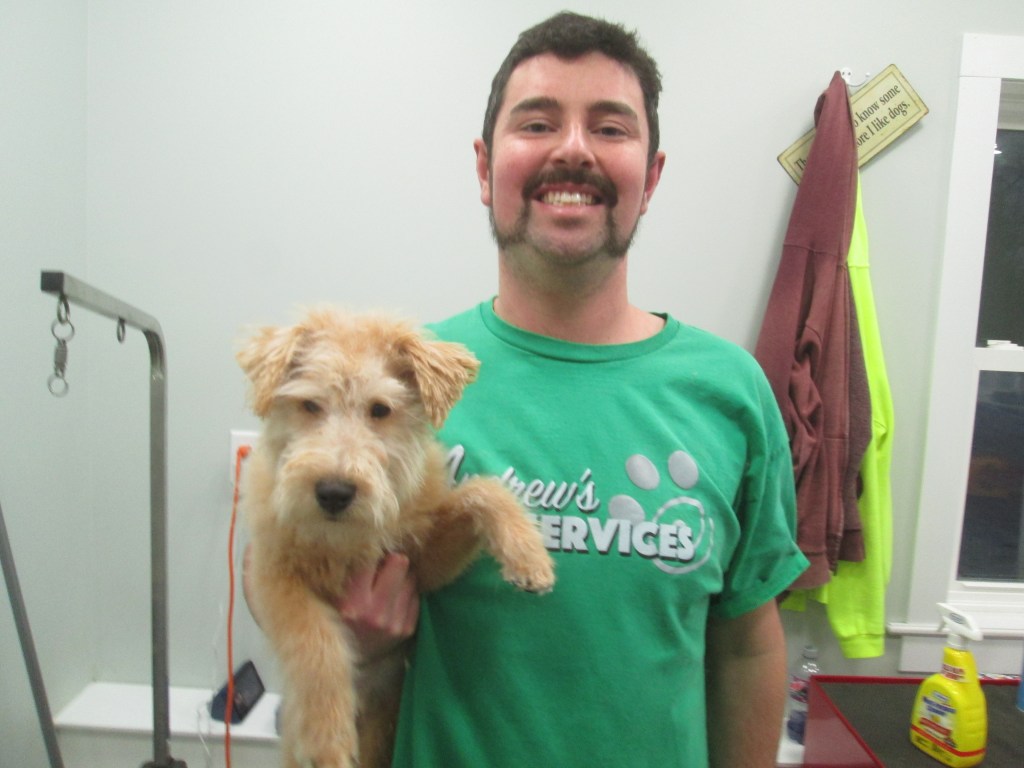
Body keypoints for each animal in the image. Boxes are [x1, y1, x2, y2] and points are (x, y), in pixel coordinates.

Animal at [237, 307, 555, 768]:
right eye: (309, 404)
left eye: (380, 409)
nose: (333, 492)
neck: (348, 537)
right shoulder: (273, 576)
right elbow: (316, 645)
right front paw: (328, 742)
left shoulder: (422, 565)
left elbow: (483, 491)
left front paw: (529, 556)